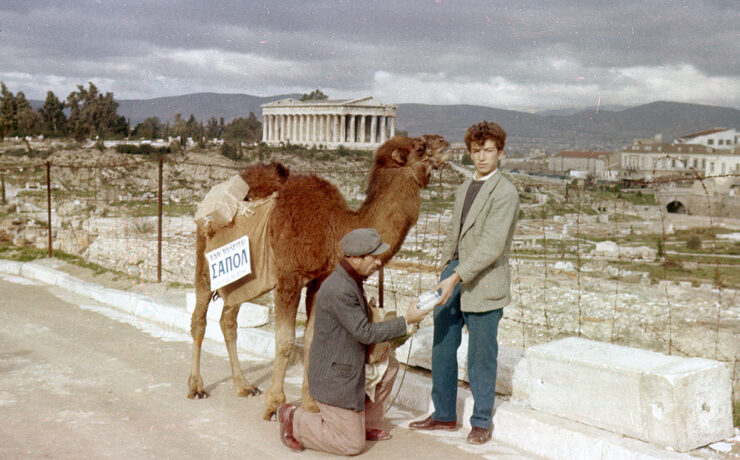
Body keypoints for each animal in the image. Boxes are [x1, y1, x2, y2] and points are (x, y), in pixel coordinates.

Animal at [188, 134, 448, 420]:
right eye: (421, 148)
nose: (445, 144)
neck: (335, 229)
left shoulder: (318, 281)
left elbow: (312, 340)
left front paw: (311, 403)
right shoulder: (289, 278)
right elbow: (286, 342)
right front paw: (274, 405)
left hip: (242, 279)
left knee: (228, 319)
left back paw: (244, 386)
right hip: (205, 260)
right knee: (200, 317)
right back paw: (196, 387)